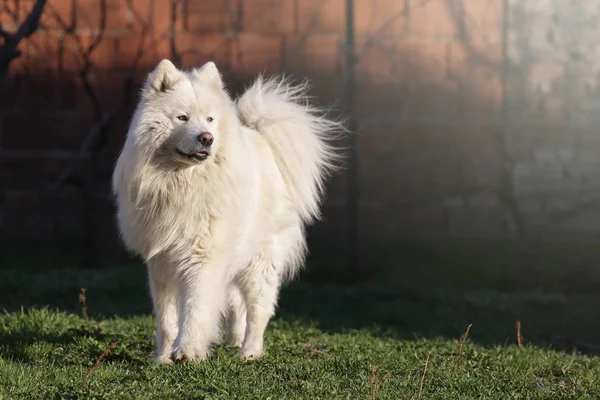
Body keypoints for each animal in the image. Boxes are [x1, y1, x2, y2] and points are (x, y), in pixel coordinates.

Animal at [110, 58, 340, 362]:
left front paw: (187, 352)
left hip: (259, 263)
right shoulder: (161, 261)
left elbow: (195, 310)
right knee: (237, 306)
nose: (207, 138)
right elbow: (167, 318)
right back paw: (234, 340)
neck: (183, 183)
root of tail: (260, 137)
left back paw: (249, 352)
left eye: (210, 119)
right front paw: (162, 358)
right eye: (182, 118)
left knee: (258, 311)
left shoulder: (203, 258)